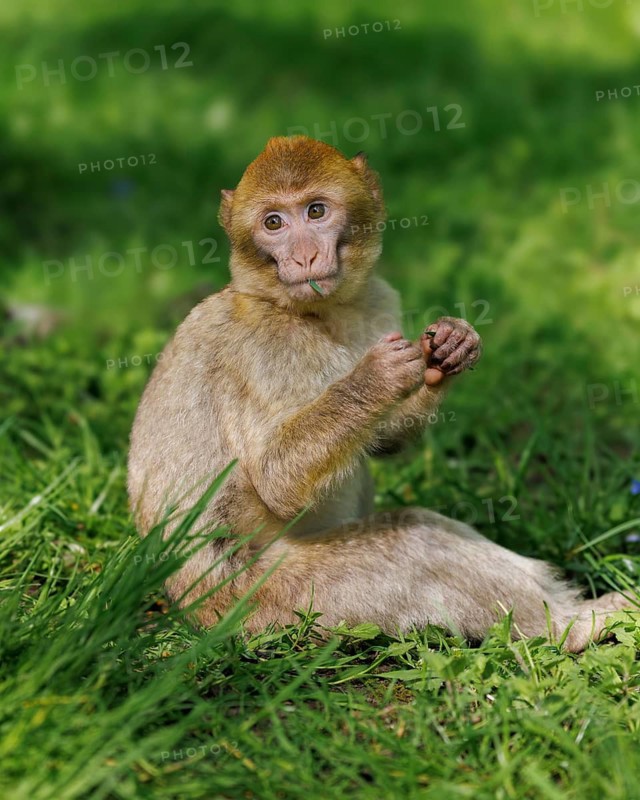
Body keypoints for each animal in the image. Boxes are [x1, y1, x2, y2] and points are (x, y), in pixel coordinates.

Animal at [128, 135, 633, 652]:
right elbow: (277, 481)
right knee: (416, 545)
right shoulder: (267, 347)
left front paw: (449, 350)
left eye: (315, 211)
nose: (304, 257)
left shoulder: (379, 299)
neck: (314, 312)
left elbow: (384, 439)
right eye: (273, 223)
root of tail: (195, 614)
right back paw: (573, 625)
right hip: (284, 602)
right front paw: (373, 379)